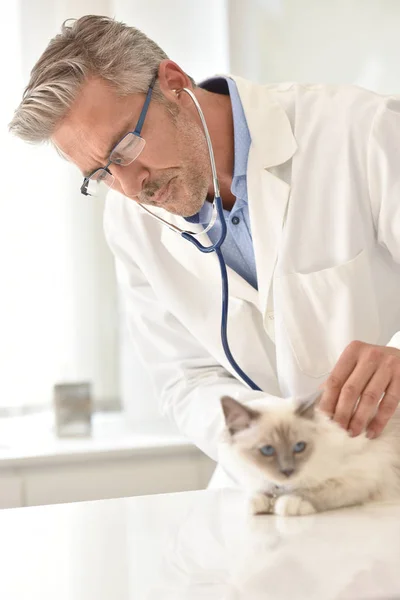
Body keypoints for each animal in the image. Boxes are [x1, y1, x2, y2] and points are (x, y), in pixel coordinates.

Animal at [217, 394, 400, 516]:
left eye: (299, 447)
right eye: (267, 450)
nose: (288, 471)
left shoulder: (360, 477)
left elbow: (313, 492)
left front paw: (287, 503)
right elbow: (260, 492)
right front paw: (260, 502)